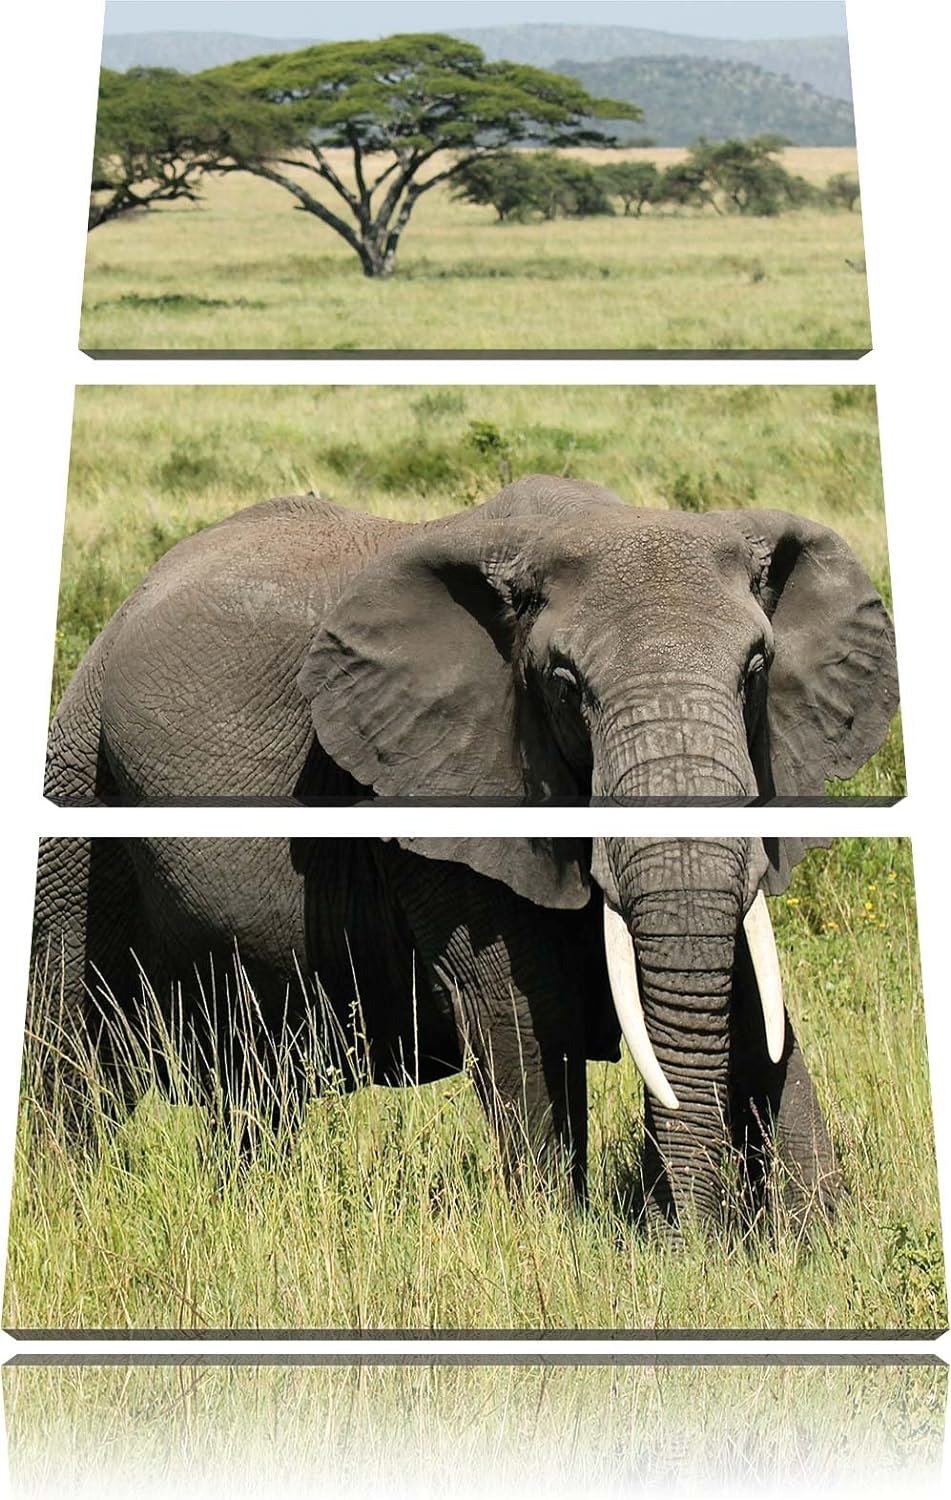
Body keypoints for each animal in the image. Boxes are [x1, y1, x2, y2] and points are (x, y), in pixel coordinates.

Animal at [31, 833, 842, 1233]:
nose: (685, 1241)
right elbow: (512, 1006)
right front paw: (556, 1244)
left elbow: (756, 1011)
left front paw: (810, 1245)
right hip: (75, 853)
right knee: (75, 1054)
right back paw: (63, 1208)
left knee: (255, 1096)